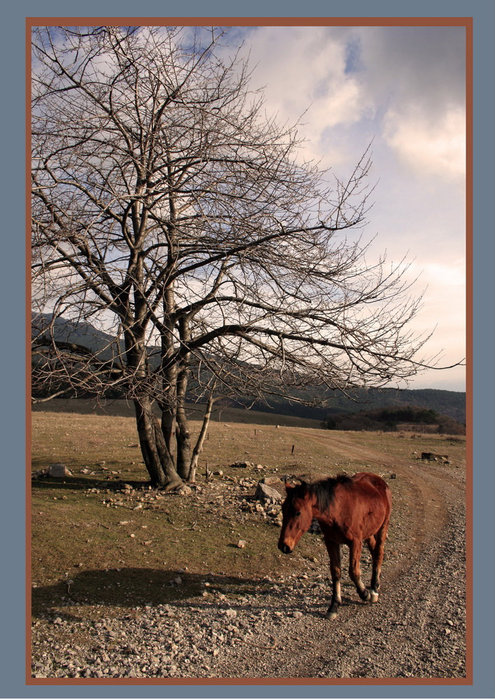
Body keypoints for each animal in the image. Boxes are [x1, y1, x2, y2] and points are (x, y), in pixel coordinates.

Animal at [280, 470, 392, 616]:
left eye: (298, 512)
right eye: (283, 509)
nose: (284, 546)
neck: (338, 510)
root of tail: (380, 480)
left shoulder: (355, 542)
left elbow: (353, 571)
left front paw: (364, 593)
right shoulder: (331, 542)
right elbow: (335, 572)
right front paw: (334, 605)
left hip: (383, 526)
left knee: (379, 552)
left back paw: (373, 590)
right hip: (369, 532)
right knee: (374, 551)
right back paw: (375, 585)